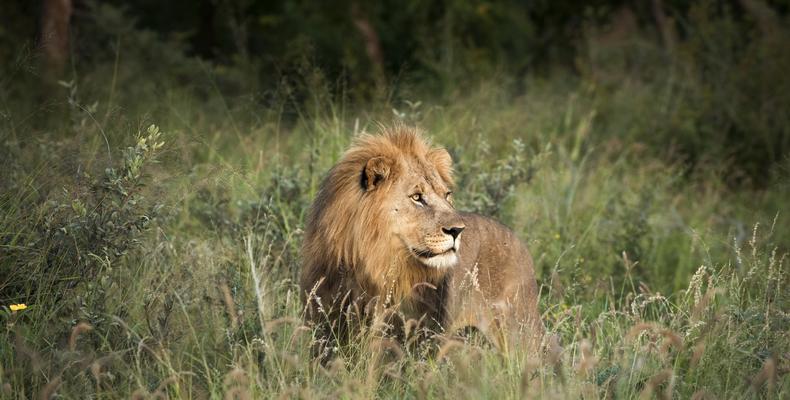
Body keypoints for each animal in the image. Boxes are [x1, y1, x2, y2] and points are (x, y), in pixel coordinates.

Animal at [298, 124, 544, 356]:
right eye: (417, 197)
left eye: (446, 195)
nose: (458, 230)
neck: (371, 264)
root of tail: (518, 241)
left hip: (521, 333)